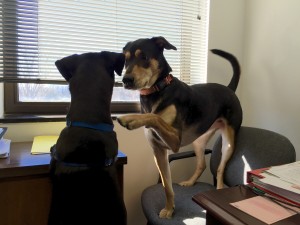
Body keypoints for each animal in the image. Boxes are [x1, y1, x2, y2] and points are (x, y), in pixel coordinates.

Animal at [116, 36, 243, 218]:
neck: (158, 89)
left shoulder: (175, 140)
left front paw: (130, 118)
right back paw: (190, 182)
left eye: (144, 57)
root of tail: (229, 89)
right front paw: (170, 209)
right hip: (199, 140)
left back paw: (218, 189)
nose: (126, 80)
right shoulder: (159, 151)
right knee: (201, 164)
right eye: (125, 59)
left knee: (220, 169)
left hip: (229, 143)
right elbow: (166, 186)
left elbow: (154, 116)